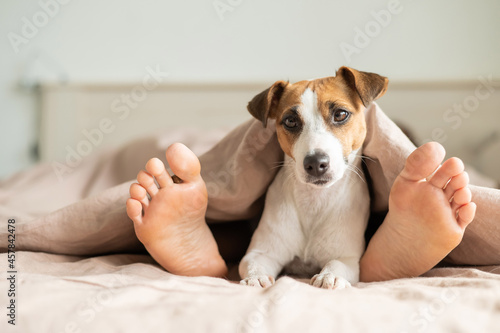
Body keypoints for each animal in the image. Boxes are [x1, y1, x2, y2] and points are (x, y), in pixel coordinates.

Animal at [240, 67, 388, 288]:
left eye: (340, 114)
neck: (314, 201)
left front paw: (329, 275)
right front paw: (254, 278)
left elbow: (337, 263)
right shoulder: (261, 252)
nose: (316, 163)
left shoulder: (348, 258)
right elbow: (253, 263)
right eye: (290, 121)